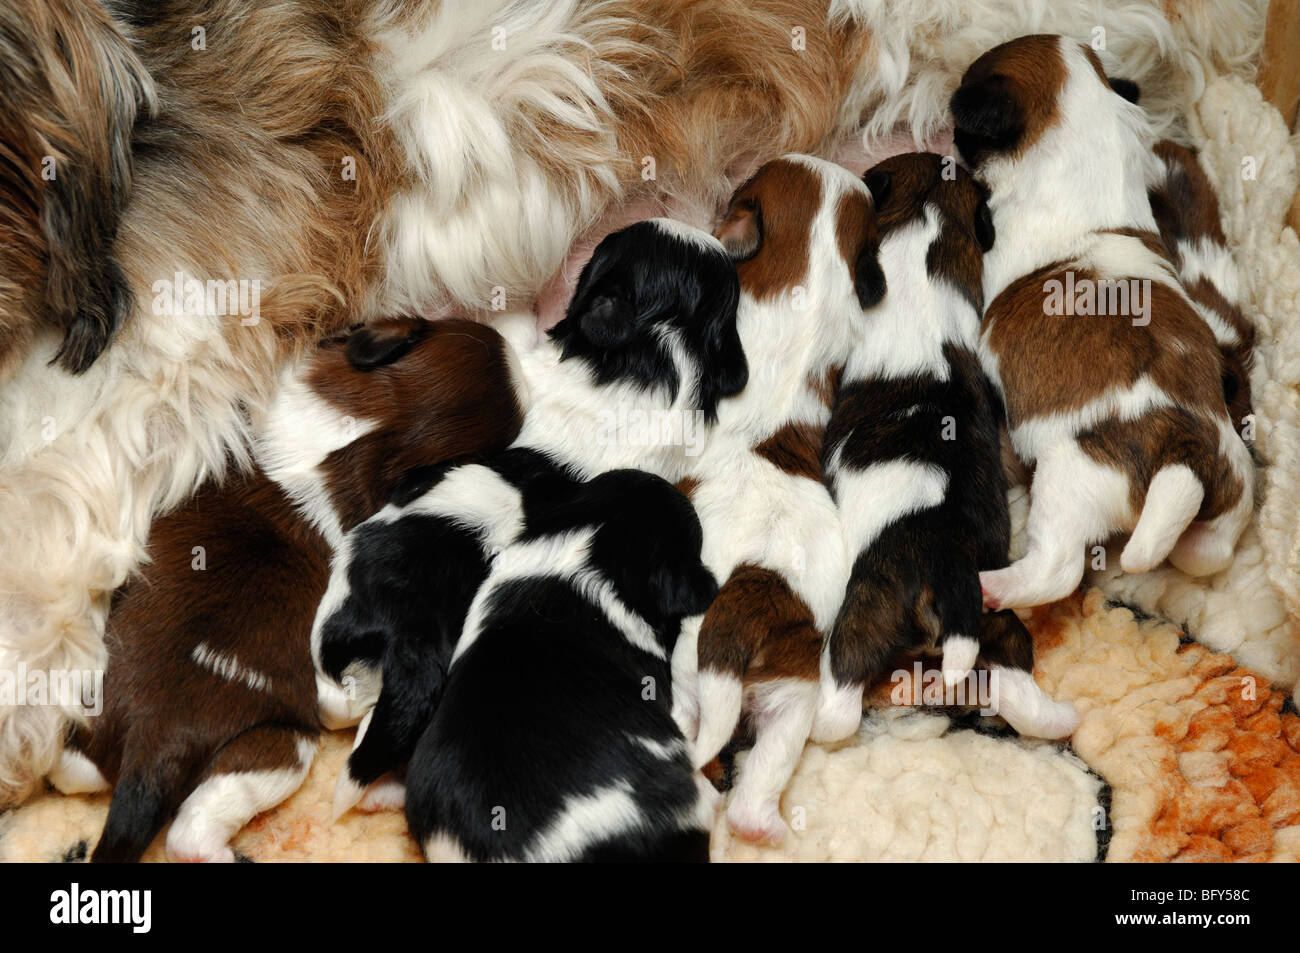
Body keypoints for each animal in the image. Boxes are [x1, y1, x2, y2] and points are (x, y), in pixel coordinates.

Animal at [49, 319, 527, 863]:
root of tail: (153, 746)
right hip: (282, 747)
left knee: (75, 776)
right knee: (191, 834)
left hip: (94, 723)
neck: (370, 433)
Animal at [811, 150, 1076, 743]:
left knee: (841, 699)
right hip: (993, 614)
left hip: (866, 611)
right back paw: (1061, 718)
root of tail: (951, 569)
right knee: (1017, 675)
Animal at [951, 35, 1253, 608]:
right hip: (1233, 490)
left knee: (1057, 570)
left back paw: (991, 586)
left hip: (1068, 481)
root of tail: (1185, 456)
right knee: (1206, 552)